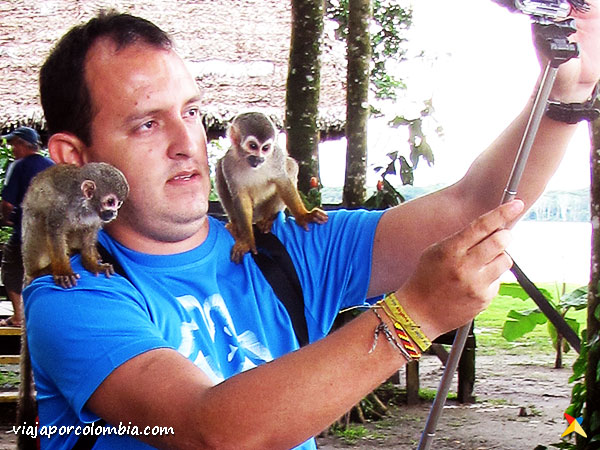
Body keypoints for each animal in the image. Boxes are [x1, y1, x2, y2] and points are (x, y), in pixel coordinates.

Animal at [216, 110, 328, 262]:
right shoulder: (228, 162)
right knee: (219, 167)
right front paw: (246, 240)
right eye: (253, 146)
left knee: (291, 165)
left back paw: (269, 218)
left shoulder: (276, 155)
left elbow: (283, 182)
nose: (259, 158)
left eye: (265, 148)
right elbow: (240, 197)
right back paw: (235, 224)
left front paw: (304, 215)